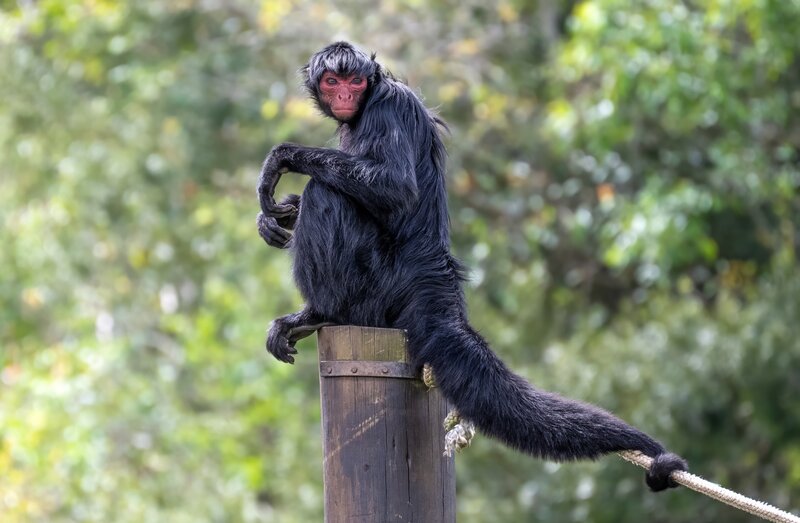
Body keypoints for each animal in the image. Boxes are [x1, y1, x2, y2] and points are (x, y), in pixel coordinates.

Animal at [256, 41, 687, 492]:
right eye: (331, 81)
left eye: (355, 81)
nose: (344, 94)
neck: (367, 103)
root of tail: (432, 272)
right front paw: (275, 217)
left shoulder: (389, 106)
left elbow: (393, 187)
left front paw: (281, 160)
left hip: (374, 287)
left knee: (327, 192)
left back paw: (320, 312)